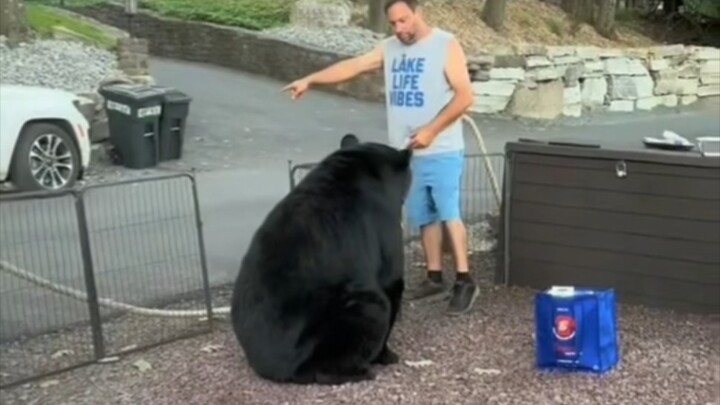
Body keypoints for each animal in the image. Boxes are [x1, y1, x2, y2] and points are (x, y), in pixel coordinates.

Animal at [230, 133, 412, 385]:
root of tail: (276, 369)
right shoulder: (387, 245)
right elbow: (391, 288)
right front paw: (387, 355)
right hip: (364, 308)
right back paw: (361, 371)